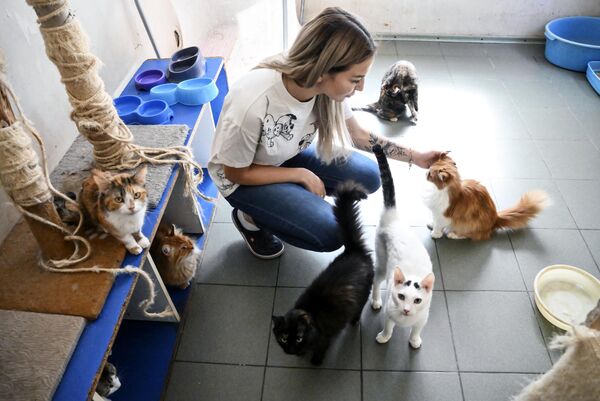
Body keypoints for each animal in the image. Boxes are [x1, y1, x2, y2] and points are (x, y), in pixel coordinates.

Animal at [274, 182, 376, 366]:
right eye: (284, 338)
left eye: (298, 338)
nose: (291, 350)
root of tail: (354, 250)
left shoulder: (324, 338)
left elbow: (320, 350)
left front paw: (315, 362)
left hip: (364, 294)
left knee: (360, 308)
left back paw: (354, 321)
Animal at [370, 144, 432, 346]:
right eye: (402, 296)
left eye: (418, 300)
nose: (406, 309)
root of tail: (393, 216)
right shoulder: (390, 311)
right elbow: (389, 326)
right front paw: (384, 337)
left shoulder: (423, 317)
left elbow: (417, 329)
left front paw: (415, 340)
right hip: (382, 262)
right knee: (376, 280)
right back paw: (375, 300)